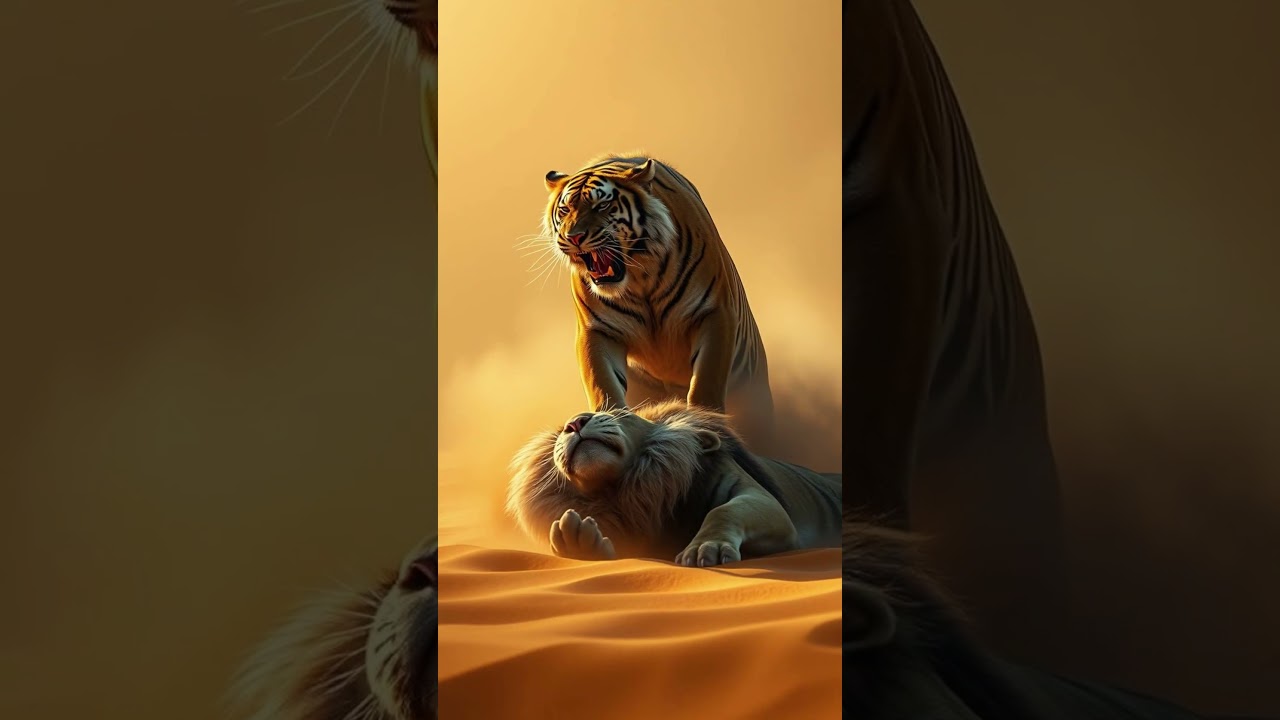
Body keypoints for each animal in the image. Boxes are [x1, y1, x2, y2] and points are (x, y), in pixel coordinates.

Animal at [506, 399, 841, 566]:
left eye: (621, 413)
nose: (574, 423)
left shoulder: (761, 501)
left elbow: (723, 511)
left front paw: (706, 548)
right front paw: (578, 540)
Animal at [542, 153, 776, 452]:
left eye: (602, 205)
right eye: (564, 210)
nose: (573, 237)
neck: (639, 279)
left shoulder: (714, 314)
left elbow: (705, 383)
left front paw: (704, 426)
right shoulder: (596, 331)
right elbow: (602, 384)